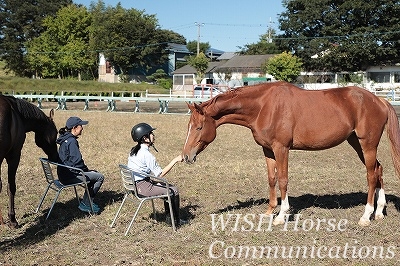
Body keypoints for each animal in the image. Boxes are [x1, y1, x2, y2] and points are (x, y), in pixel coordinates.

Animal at [183, 81, 400, 227]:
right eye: (189, 126)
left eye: (199, 127)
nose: (186, 156)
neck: (263, 107)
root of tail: (379, 100)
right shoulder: (268, 149)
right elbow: (272, 179)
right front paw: (269, 211)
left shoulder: (282, 148)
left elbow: (283, 179)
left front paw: (281, 215)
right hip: (356, 143)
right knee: (379, 170)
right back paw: (379, 212)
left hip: (367, 144)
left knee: (371, 175)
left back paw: (366, 216)